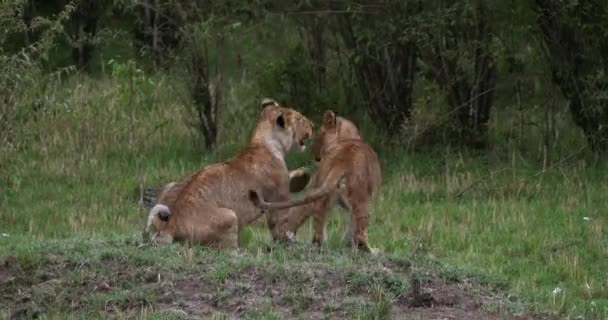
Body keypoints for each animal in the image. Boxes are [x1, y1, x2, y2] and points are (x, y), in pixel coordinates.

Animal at [248, 111, 380, 251]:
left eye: (319, 135)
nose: (314, 154)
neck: (349, 139)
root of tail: (343, 162)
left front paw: (347, 243)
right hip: (363, 200)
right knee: (360, 230)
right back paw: (369, 250)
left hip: (321, 188)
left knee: (315, 214)